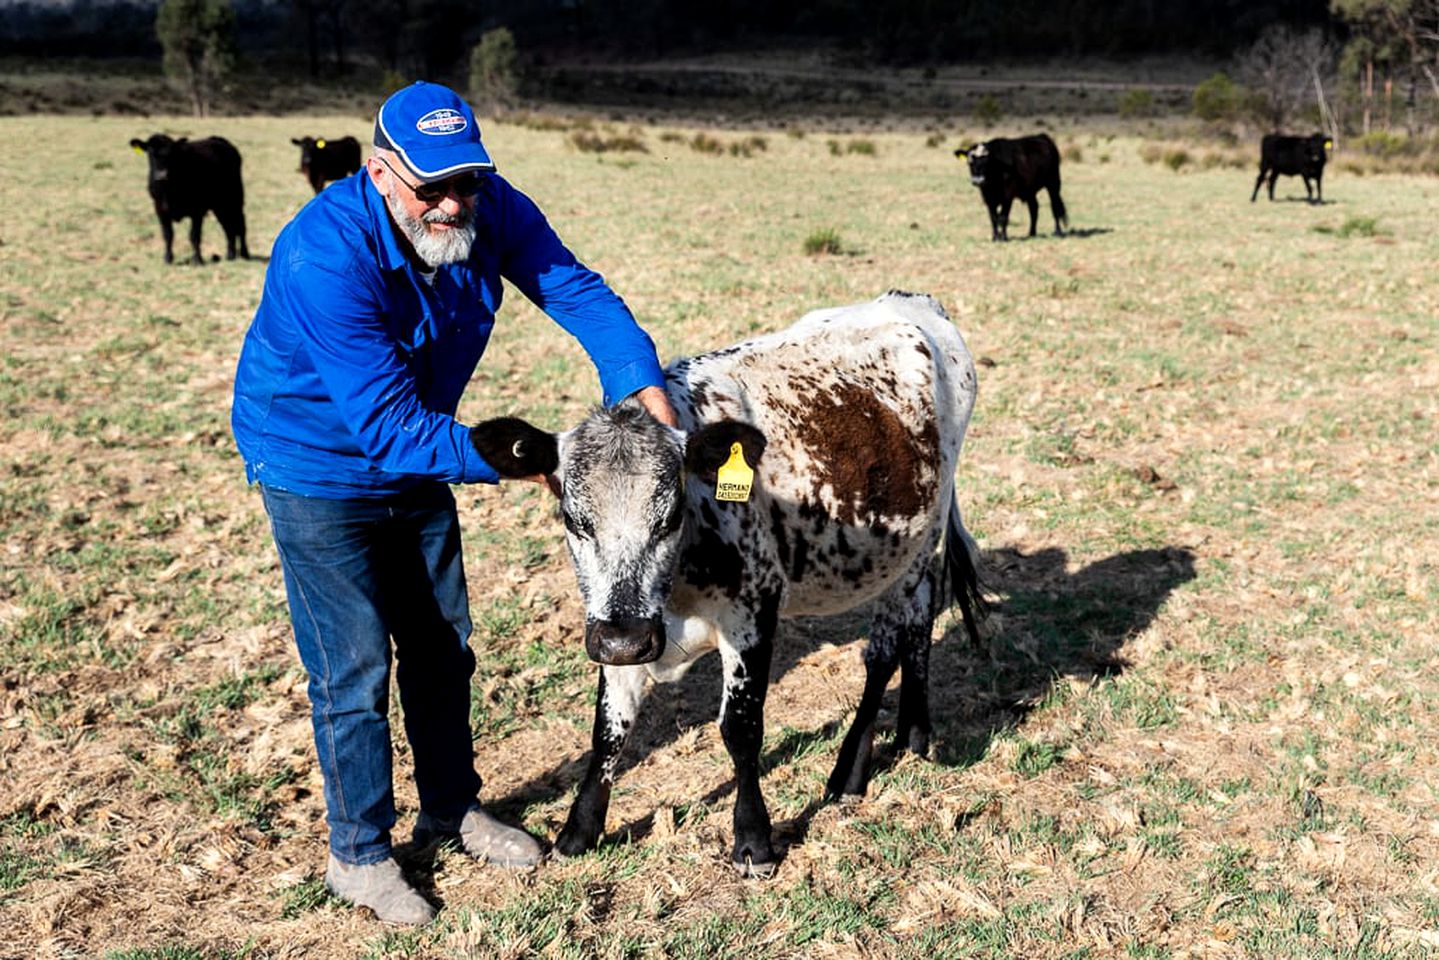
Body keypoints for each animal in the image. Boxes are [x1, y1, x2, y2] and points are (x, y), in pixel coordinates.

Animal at [129, 133, 250, 264]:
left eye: (171, 153)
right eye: (150, 153)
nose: (162, 175)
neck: (168, 191)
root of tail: (218, 140)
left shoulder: (197, 211)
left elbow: (194, 236)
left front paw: (198, 260)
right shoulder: (160, 209)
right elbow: (168, 235)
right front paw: (168, 258)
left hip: (235, 199)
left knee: (240, 225)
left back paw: (244, 253)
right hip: (219, 205)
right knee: (228, 227)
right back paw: (230, 254)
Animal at [471, 290, 990, 880]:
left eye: (669, 516)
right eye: (574, 519)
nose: (626, 641)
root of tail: (913, 303)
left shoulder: (752, 612)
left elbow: (740, 728)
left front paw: (753, 840)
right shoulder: (615, 622)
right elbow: (609, 727)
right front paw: (578, 831)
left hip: (918, 543)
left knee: (892, 645)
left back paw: (858, 768)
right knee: (914, 631)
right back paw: (910, 736)